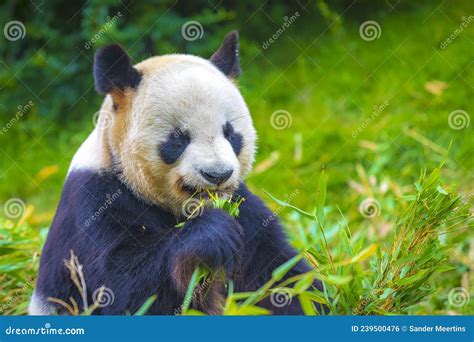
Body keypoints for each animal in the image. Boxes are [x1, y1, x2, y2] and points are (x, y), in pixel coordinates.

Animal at [29, 32, 326, 316]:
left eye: (230, 133)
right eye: (178, 138)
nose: (217, 174)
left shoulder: (243, 205)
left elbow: (279, 274)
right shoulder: (95, 200)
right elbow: (121, 287)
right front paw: (212, 234)